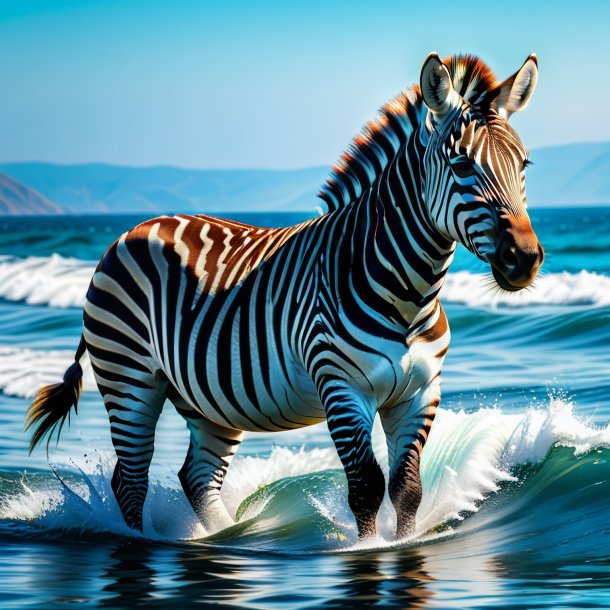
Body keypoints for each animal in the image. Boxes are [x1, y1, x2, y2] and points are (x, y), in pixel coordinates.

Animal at [26, 52, 544, 536]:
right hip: (129, 374)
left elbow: (407, 488)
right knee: (131, 480)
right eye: (461, 165)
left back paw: (224, 538)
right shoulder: (341, 386)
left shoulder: (419, 393)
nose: (525, 258)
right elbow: (366, 486)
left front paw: (404, 544)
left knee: (197, 477)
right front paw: (366, 550)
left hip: (207, 397)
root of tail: (134, 229)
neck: (408, 296)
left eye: (523, 165)